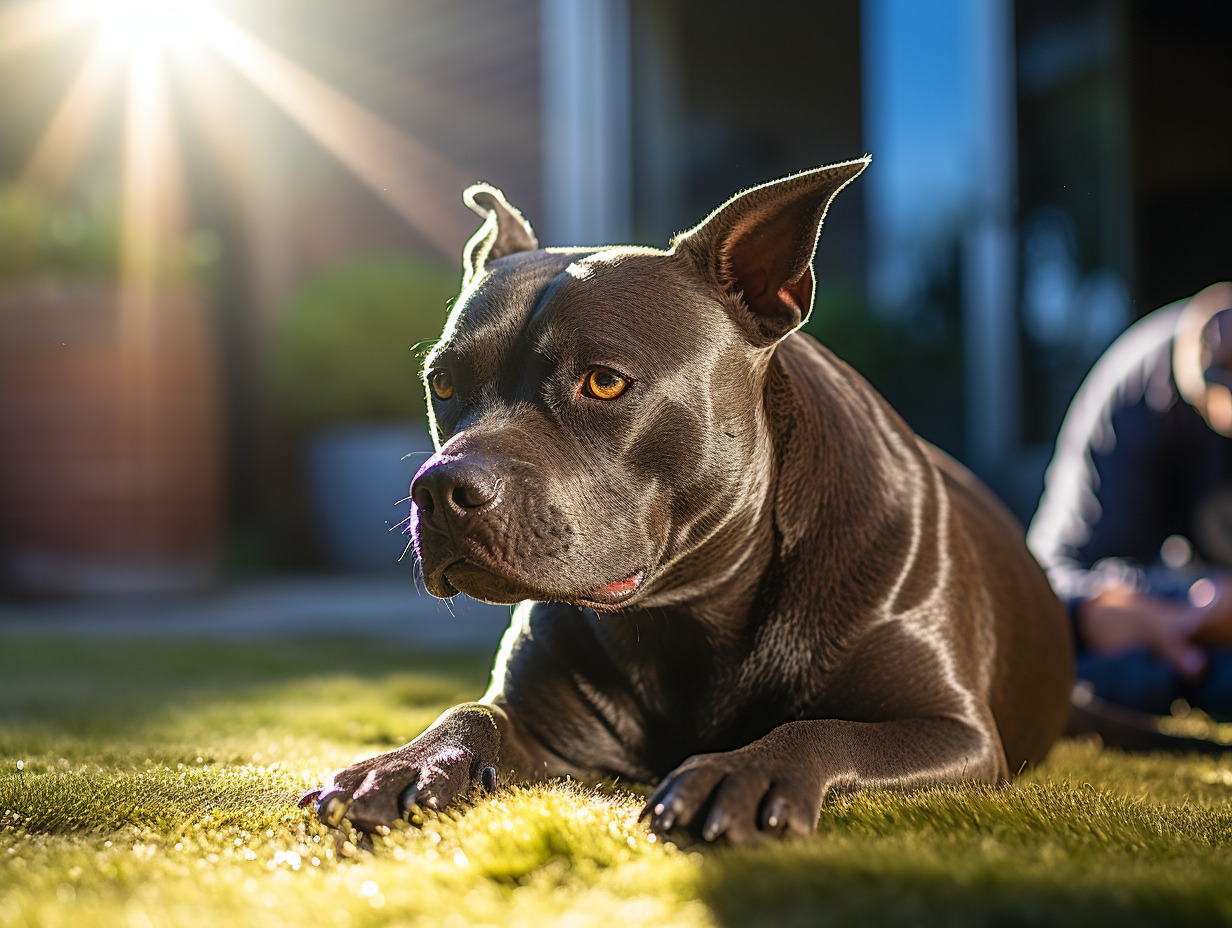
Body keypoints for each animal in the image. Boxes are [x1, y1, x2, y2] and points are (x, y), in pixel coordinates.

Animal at [303, 157, 1074, 838]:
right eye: (442, 384)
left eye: (604, 382)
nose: (437, 488)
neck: (691, 606)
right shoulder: (541, 727)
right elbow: (470, 713)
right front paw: (402, 764)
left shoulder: (954, 731)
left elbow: (825, 729)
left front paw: (744, 771)